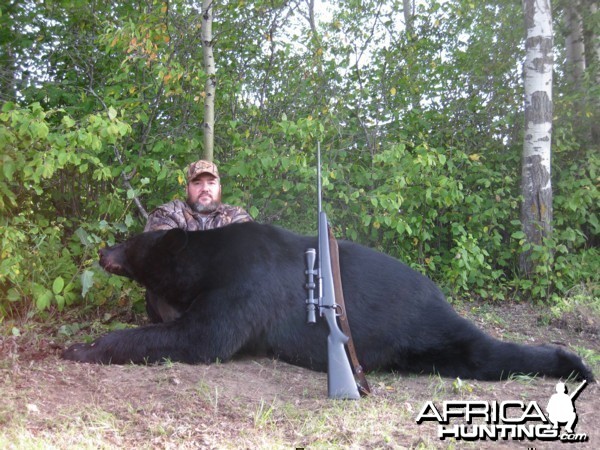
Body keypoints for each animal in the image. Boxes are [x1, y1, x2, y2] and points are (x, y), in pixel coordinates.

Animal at [63, 223, 592, 382]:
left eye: (132, 241)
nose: (103, 250)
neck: (207, 258)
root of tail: (437, 293)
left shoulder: (245, 284)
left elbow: (204, 336)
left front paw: (84, 347)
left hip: (422, 321)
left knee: (484, 351)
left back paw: (573, 363)